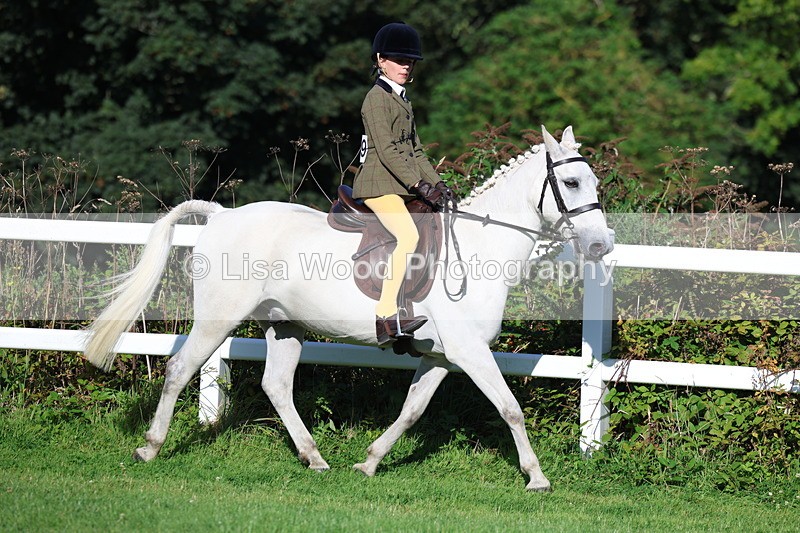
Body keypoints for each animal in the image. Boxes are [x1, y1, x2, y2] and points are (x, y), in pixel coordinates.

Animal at [84, 125, 613, 492]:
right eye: (570, 182)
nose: (602, 246)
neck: (481, 248)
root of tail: (221, 216)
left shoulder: (441, 356)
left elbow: (411, 411)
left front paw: (369, 461)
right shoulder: (469, 353)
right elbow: (510, 409)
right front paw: (537, 477)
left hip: (286, 326)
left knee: (277, 386)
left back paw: (314, 458)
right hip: (219, 318)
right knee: (180, 369)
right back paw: (150, 448)